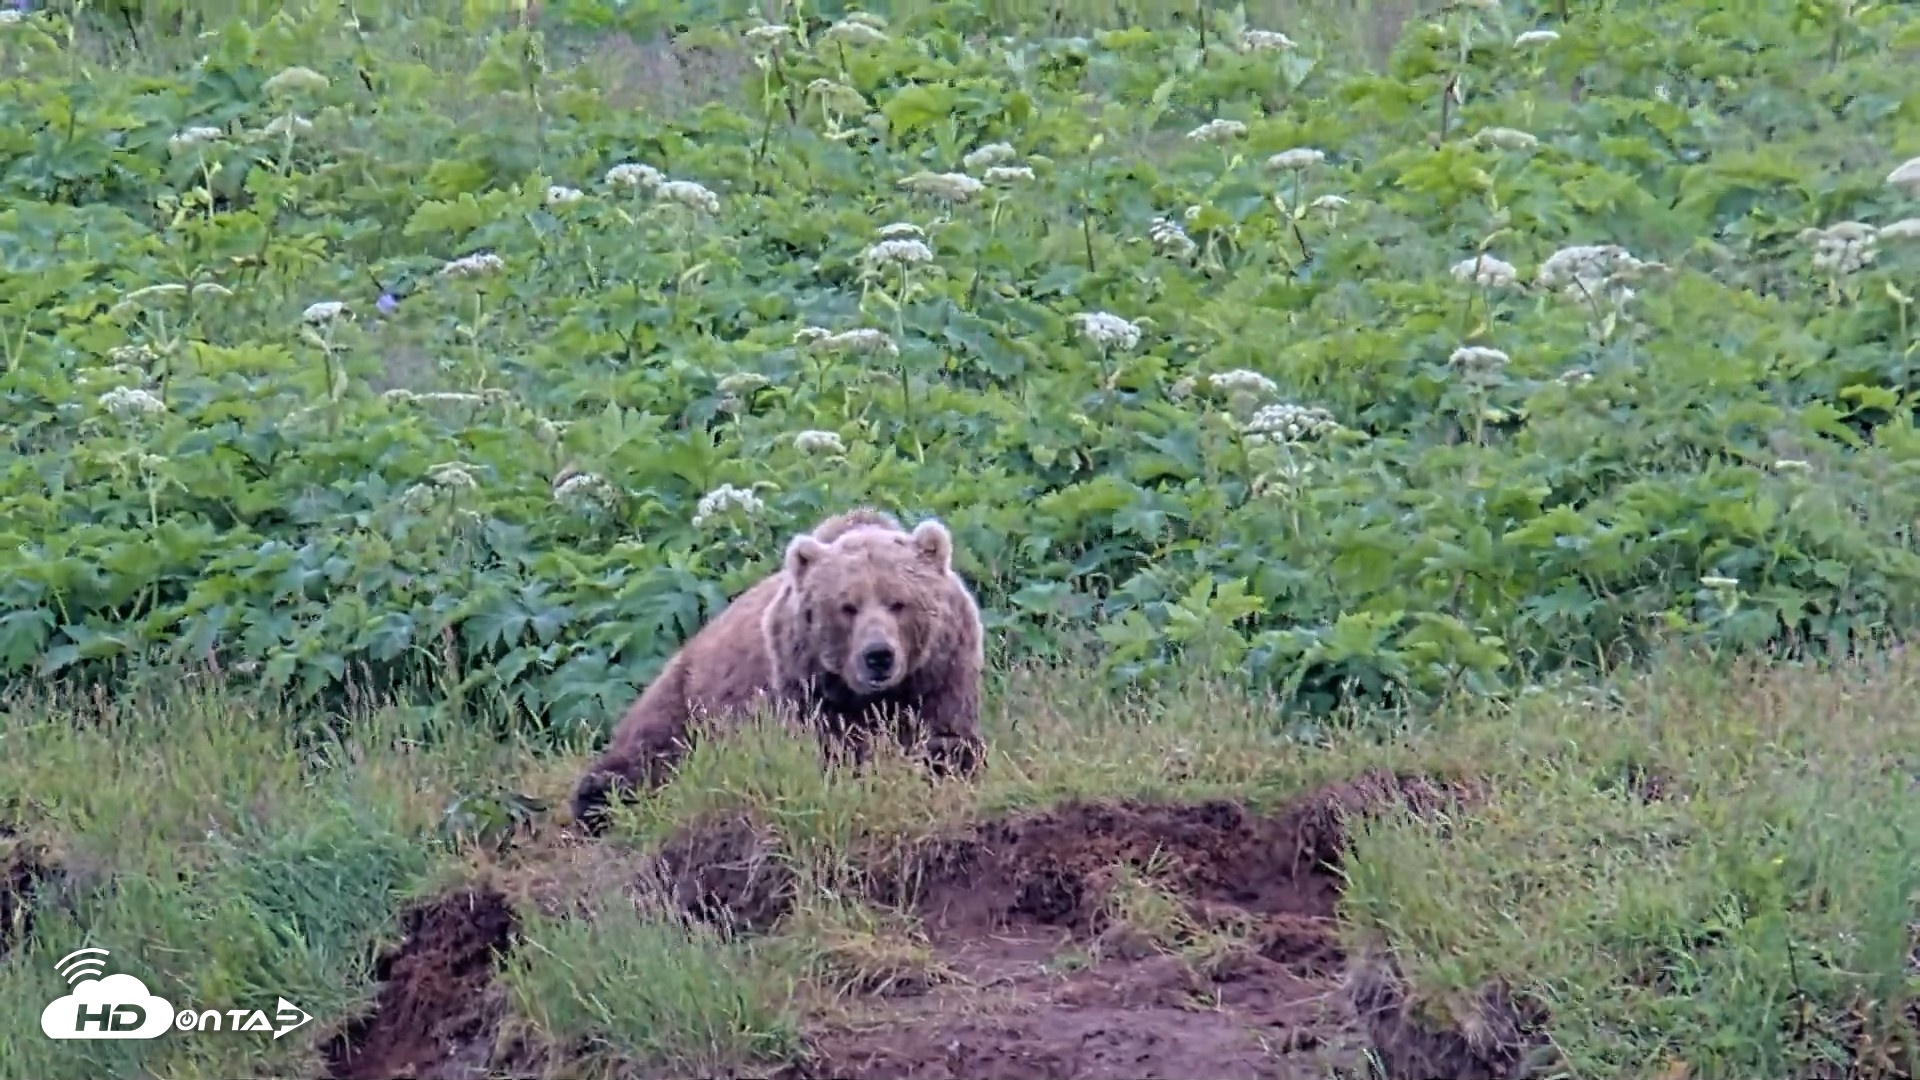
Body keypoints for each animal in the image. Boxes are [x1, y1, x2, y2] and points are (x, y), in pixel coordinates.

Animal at [569, 507, 987, 835]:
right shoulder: (805, 688)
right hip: (684, 697)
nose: (878, 656)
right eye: (847, 606)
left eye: (898, 602)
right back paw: (598, 799)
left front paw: (940, 759)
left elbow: (948, 737)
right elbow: (830, 750)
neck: (873, 697)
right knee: (648, 750)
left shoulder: (941, 673)